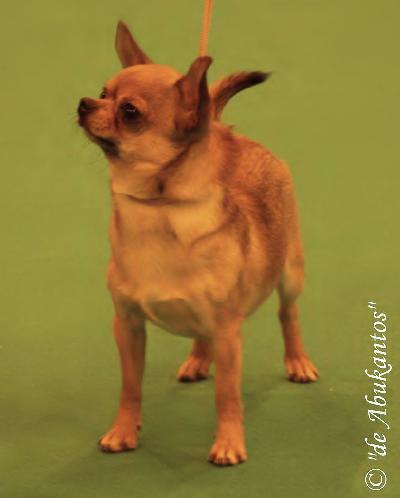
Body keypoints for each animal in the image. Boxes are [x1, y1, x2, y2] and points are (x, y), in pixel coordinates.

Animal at [77, 20, 319, 466]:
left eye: (129, 112)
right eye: (103, 91)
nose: (85, 102)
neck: (156, 209)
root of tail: (228, 132)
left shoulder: (228, 334)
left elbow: (227, 395)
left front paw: (228, 443)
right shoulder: (128, 325)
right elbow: (130, 387)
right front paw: (123, 431)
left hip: (291, 272)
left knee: (287, 314)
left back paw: (297, 361)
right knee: (203, 332)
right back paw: (197, 360)